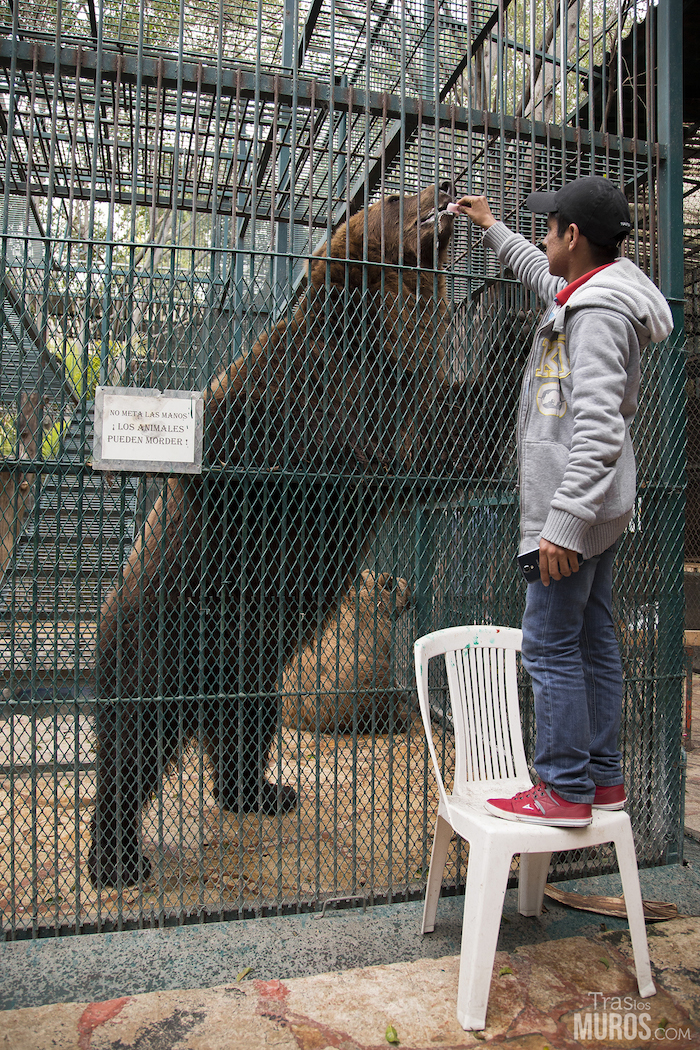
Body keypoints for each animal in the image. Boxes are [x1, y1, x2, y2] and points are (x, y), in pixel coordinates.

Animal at [89, 180, 470, 886]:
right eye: (396, 196)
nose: (447, 184)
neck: (373, 333)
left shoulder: (394, 406)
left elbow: (439, 450)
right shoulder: (291, 386)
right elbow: (231, 439)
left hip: (257, 665)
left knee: (246, 727)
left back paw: (263, 791)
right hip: (161, 634)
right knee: (134, 743)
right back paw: (116, 857)